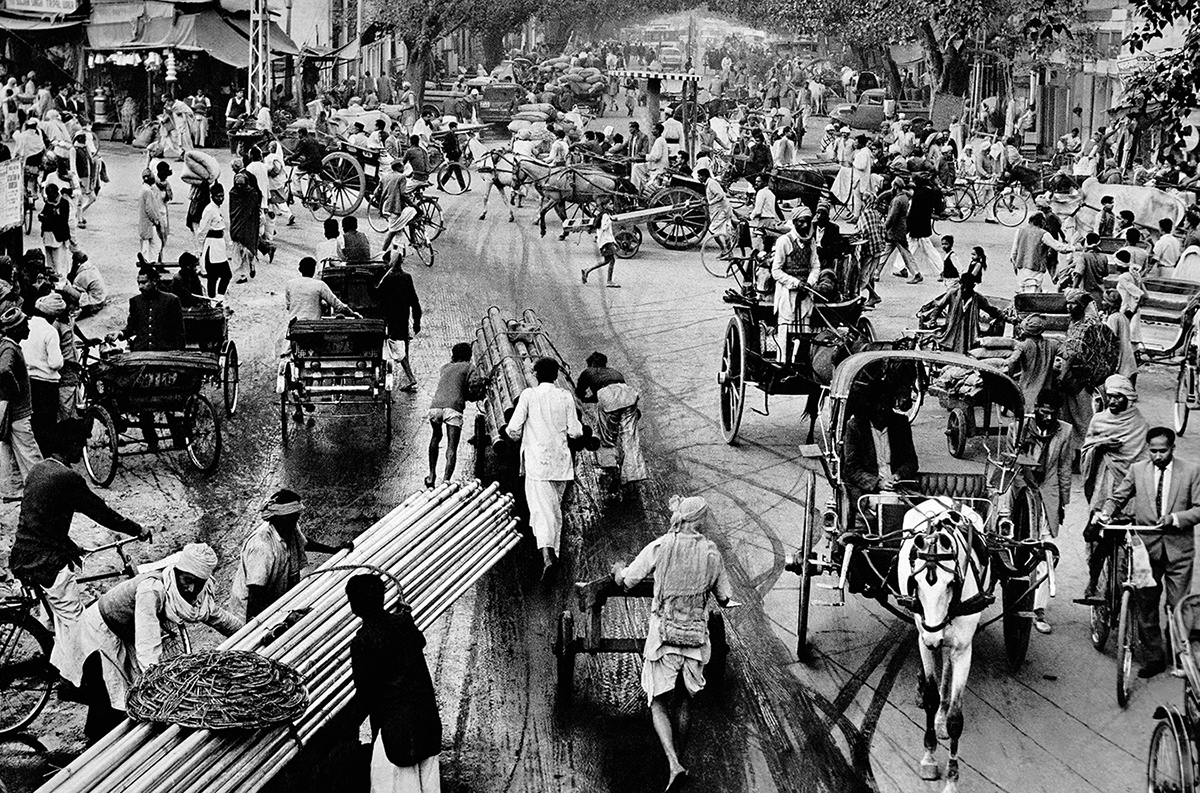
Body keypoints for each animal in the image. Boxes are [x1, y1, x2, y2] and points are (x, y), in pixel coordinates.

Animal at [897, 501, 988, 791]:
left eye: (952, 584)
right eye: (915, 583)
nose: (933, 638)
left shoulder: (963, 649)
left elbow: (956, 717)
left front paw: (952, 779)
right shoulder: (923, 638)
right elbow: (930, 696)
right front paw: (928, 758)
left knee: (947, 663)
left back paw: (941, 716)